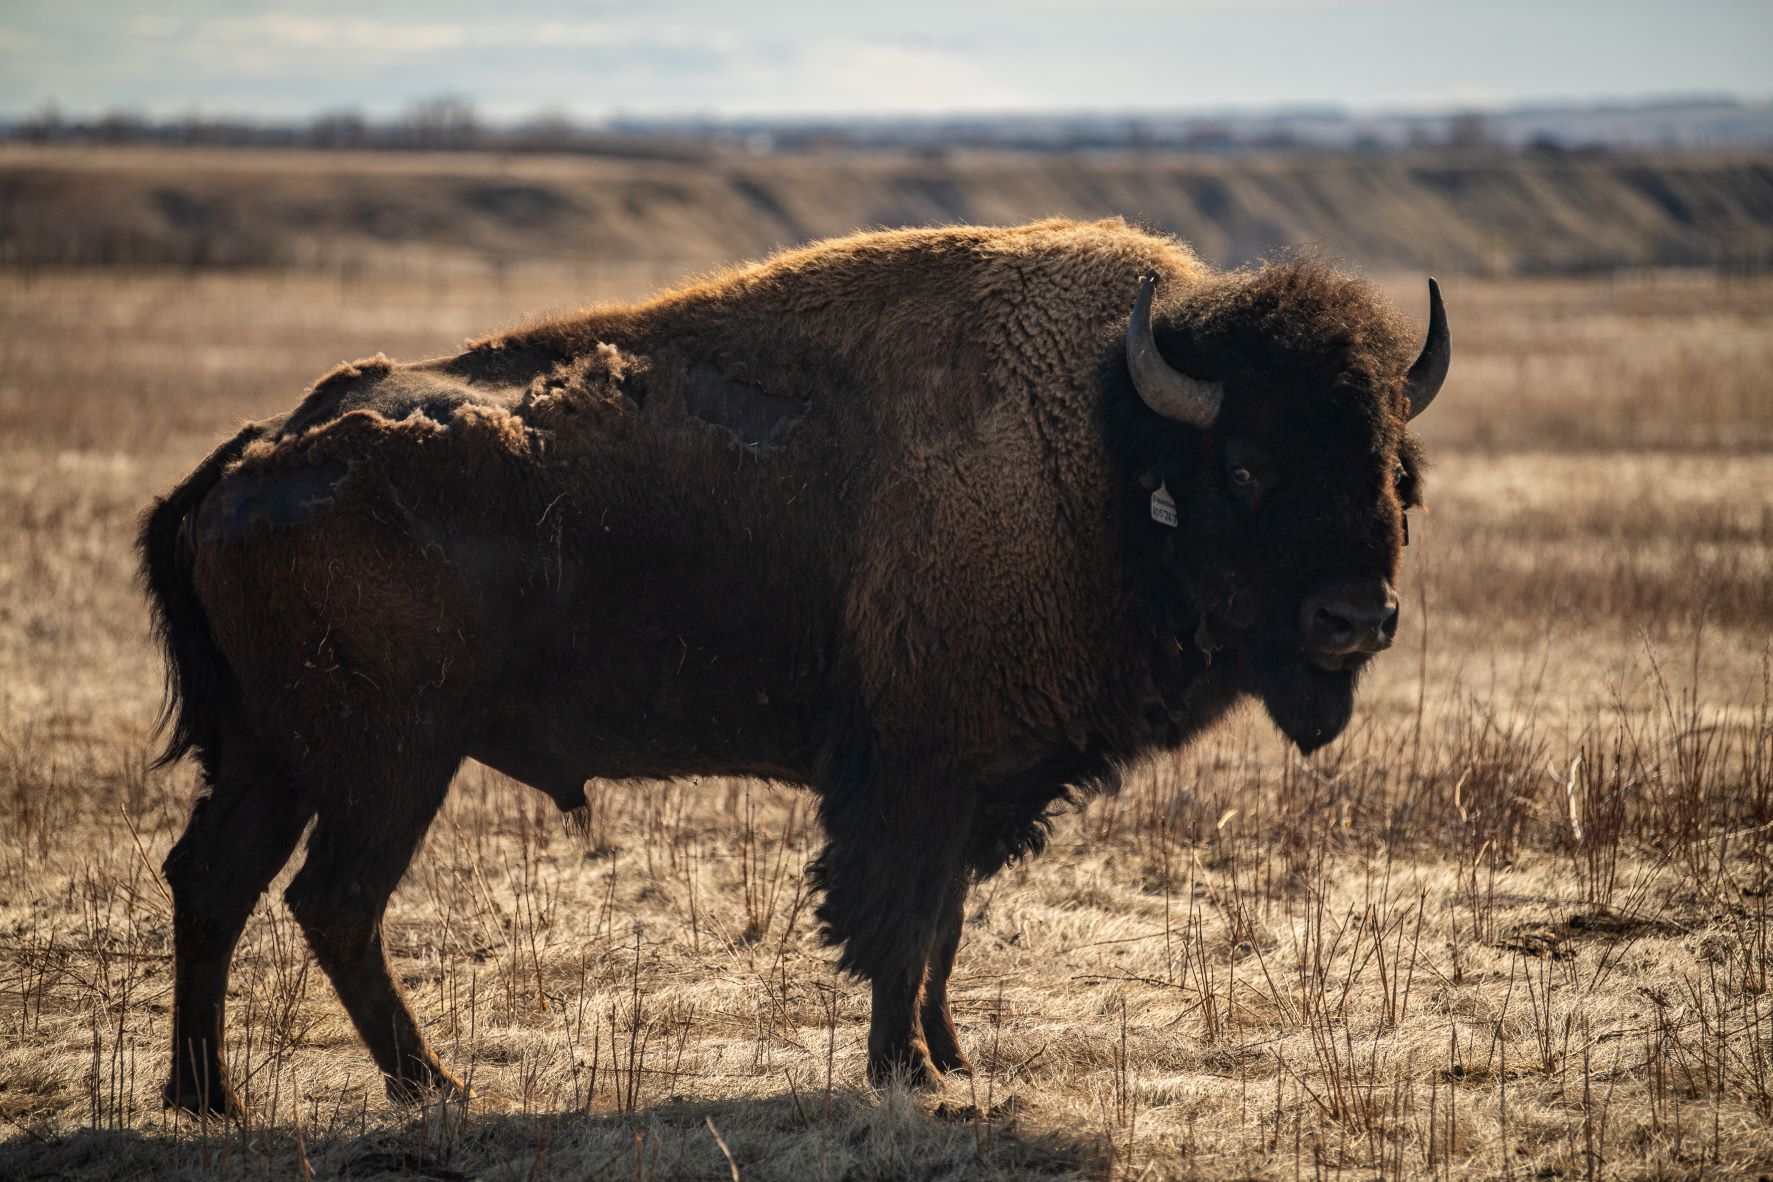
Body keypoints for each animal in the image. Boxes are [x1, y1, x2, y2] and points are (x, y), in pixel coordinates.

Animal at [138, 215, 1439, 1119]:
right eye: (1252, 465)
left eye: (1392, 466)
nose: (1355, 617)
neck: (1108, 450)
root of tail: (250, 457)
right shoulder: (914, 772)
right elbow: (900, 922)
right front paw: (909, 1073)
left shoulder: (972, 780)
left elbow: (943, 926)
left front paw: (951, 1057)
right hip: (390, 764)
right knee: (333, 900)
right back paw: (434, 1089)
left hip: (269, 756)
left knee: (212, 881)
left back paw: (209, 1098)